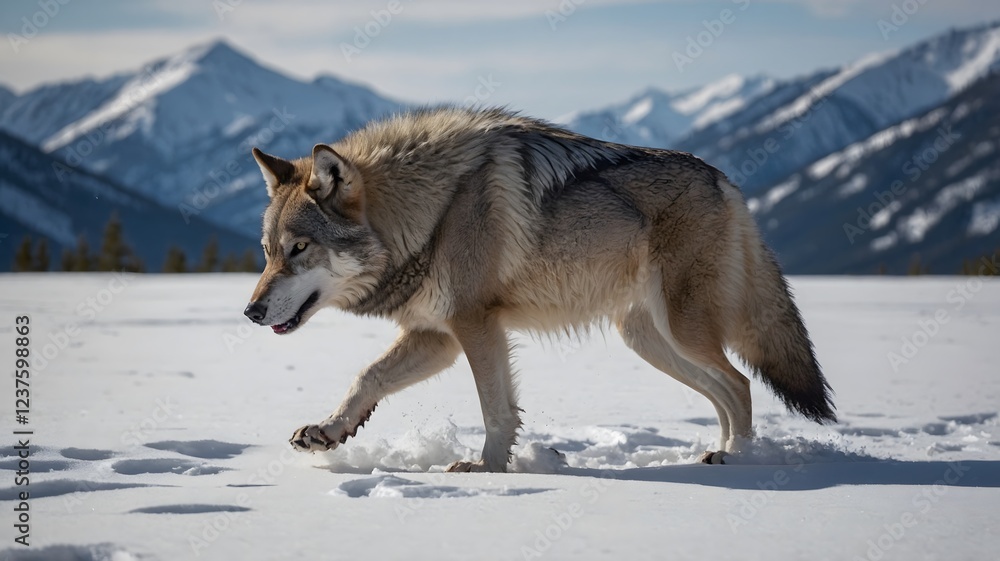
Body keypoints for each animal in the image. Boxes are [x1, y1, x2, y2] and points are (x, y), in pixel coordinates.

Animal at [243, 107, 835, 472]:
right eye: (267, 251)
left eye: (299, 249)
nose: (250, 312)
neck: (433, 211)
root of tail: (727, 181)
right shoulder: (439, 336)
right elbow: (367, 377)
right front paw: (328, 431)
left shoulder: (474, 325)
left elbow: (494, 409)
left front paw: (485, 468)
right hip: (650, 342)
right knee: (724, 391)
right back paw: (720, 457)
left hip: (681, 330)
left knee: (740, 384)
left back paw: (738, 460)